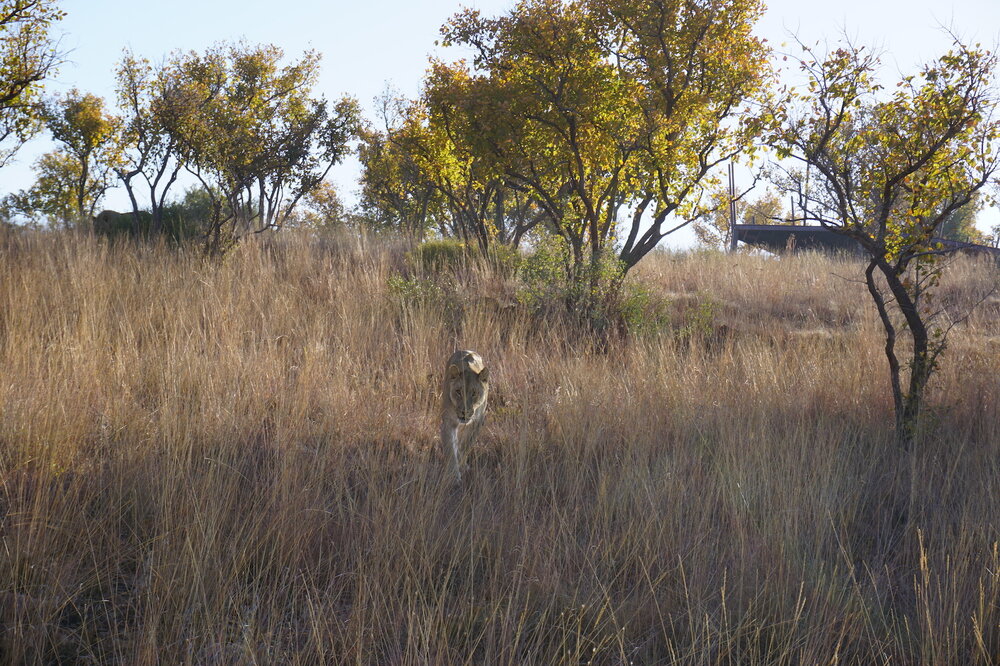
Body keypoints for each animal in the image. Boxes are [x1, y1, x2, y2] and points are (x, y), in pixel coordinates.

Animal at [440, 350, 489, 481]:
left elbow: (466, 445)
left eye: (474, 393)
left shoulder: (477, 421)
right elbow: (450, 449)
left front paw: (462, 465)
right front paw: (453, 475)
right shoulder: (448, 422)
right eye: (458, 392)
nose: (464, 411)